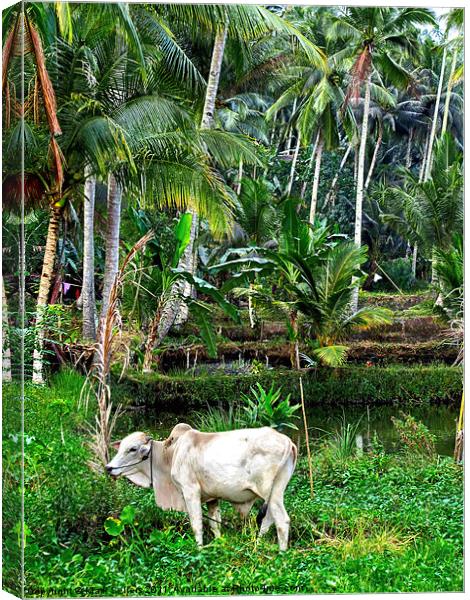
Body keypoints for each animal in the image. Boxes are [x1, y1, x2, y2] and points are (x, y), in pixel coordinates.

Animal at [106, 422, 298, 548]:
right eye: (120, 447)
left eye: (132, 449)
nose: (109, 468)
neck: (170, 454)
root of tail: (288, 441)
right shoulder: (212, 498)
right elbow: (215, 523)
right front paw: (219, 543)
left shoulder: (190, 491)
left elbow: (196, 523)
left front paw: (199, 549)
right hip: (276, 492)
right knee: (269, 520)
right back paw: (258, 545)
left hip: (270, 492)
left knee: (282, 520)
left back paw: (281, 554)